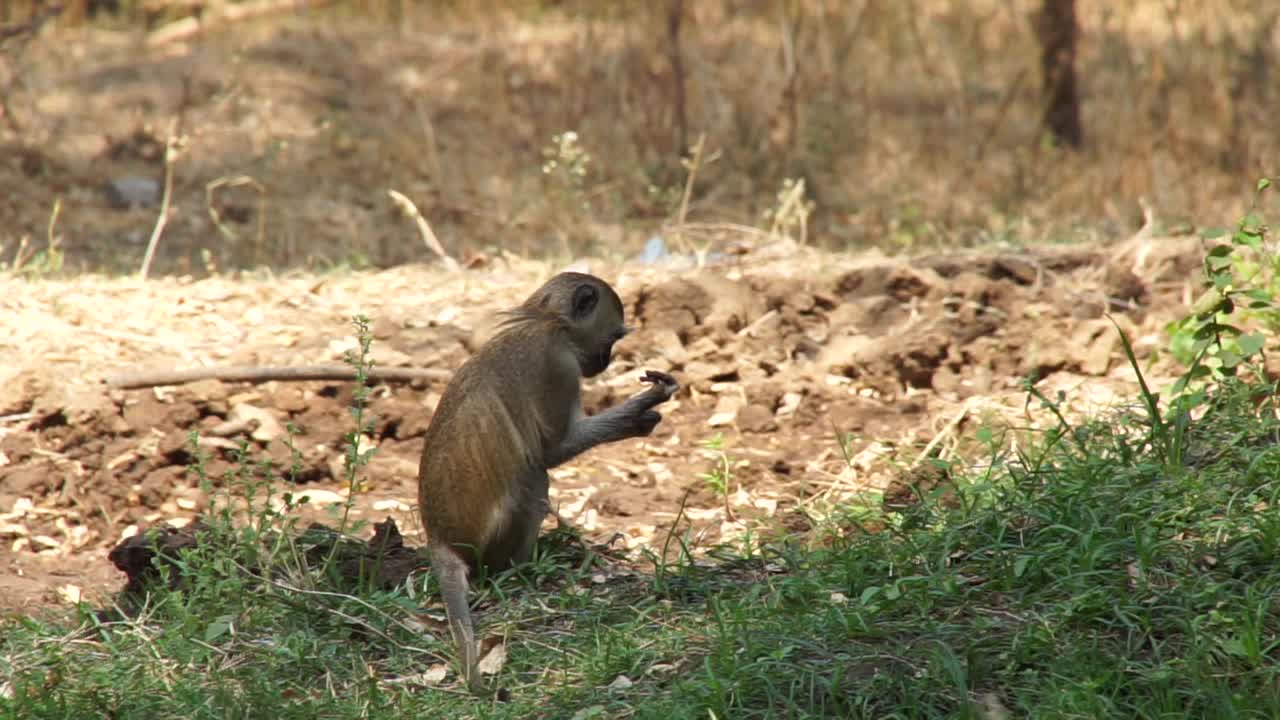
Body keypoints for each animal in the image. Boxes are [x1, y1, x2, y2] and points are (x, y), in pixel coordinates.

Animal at [419, 270, 680, 691]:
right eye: (613, 337)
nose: (606, 361)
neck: (545, 323)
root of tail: (438, 538)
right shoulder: (558, 367)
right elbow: (551, 452)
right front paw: (641, 410)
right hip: (489, 538)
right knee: (533, 477)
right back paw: (524, 566)